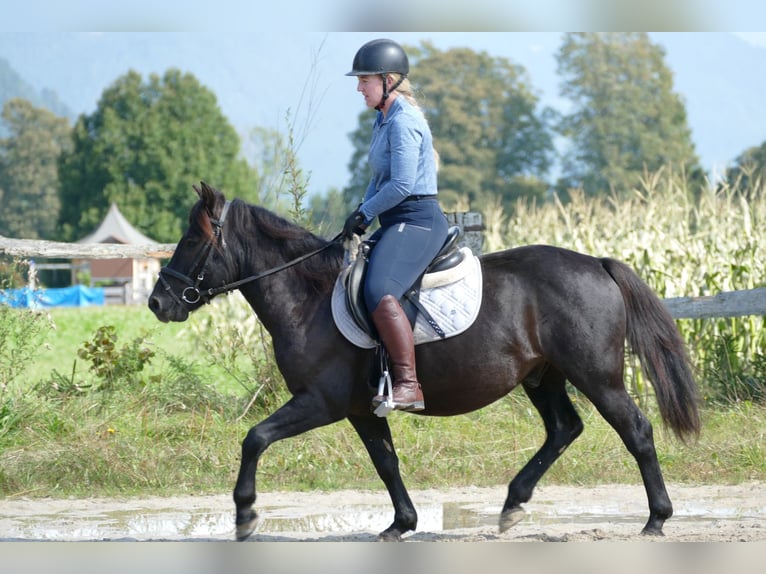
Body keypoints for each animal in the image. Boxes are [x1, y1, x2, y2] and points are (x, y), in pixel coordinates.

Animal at [150, 182, 704, 544]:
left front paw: (245, 513)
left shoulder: (320, 402)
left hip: (596, 375)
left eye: (194, 240)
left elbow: (255, 438)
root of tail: (597, 264)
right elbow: (386, 462)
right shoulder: (360, 408)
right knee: (564, 429)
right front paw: (402, 524)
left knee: (635, 430)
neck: (308, 297)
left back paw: (656, 519)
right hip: (542, 377)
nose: (158, 303)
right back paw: (512, 505)